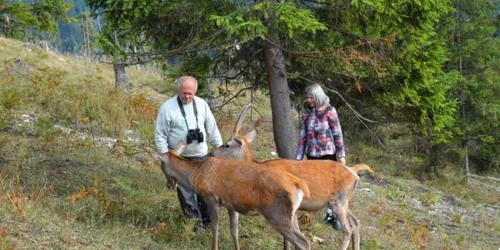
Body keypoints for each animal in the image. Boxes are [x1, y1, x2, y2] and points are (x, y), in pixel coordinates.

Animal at [150, 143, 310, 250]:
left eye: (161, 166)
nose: (169, 185)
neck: (195, 173)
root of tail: (298, 184)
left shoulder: (211, 197)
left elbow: (215, 227)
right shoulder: (231, 204)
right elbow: (234, 230)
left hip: (277, 214)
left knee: (303, 242)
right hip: (292, 215)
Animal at [213, 103, 374, 250]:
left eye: (227, 144)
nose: (212, 153)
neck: (260, 164)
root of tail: (354, 172)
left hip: (338, 202)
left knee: (348, 228)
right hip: (343, 201)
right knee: (355, 221)